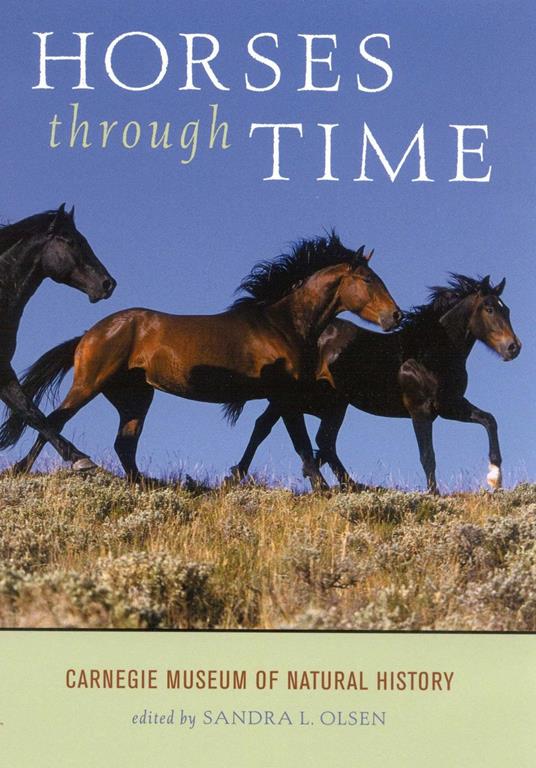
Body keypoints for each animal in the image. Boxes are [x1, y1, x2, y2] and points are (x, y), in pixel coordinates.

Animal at [0, 204, 116, 471]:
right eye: (71, 241)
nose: (108, 284)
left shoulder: (4, 371)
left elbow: (31, 411)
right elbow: (32, 413)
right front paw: (81, 459)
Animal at [0, 232, 401, 486]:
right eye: (368, 279)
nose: (395, 317)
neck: (282, 324)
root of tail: (88, 334)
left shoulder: (278, 397)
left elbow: (263, 431)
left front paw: (236, 475)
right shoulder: (285, 396)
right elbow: (298, 439)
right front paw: (320, 485)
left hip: (135, 396)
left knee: (124, 444)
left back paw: (143, 483)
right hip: (90, 383)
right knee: (55, 419)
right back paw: (32, 467)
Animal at [226, 274, 521, 493]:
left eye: (507, 309)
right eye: (489, 309)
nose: (513, 348)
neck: (428, 352)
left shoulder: (450, 406)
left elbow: (489, 420)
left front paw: (495, 478)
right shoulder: (420, 410)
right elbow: (428, 456)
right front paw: (434, 494)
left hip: (333, 403)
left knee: (314, 439)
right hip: (310, 400)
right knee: (281, 430)